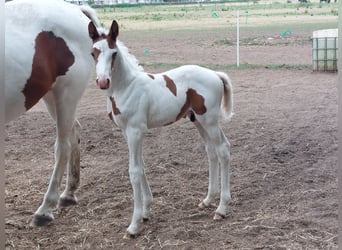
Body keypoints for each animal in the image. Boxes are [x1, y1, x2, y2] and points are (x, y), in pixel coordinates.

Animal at [5, 0, 102, 227]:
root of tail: (77, 10)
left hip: (66, 94)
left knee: (63, 146)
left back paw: (45, 209)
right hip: (50, 96)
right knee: (74, 134)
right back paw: (68, 193)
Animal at [88, 20, 234, 238]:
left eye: (113, 53)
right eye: (93, 52)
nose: (103, 81)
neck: (126, 87)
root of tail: (215, 74)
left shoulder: (135, 131)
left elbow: (134, 171)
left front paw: (133, 225)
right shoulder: (127, 133)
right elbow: (141, 167)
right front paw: (146, 211)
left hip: (209, 120)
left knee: (223, 149)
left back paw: (221, 208)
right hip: (198, 120)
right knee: (211, 151)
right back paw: (208, 199)